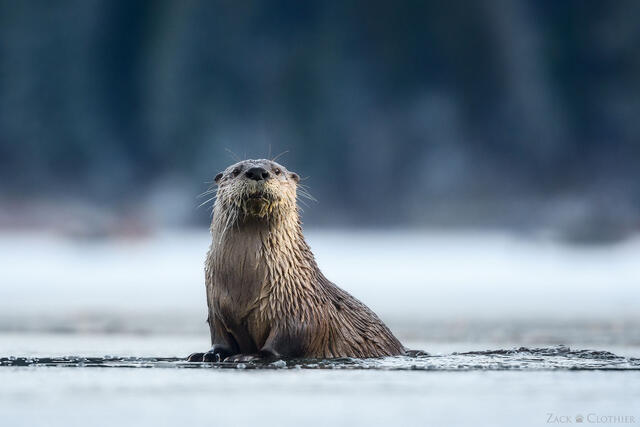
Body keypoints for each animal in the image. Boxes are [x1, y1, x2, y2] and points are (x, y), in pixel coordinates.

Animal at [187, 159, 405, 362]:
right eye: (235, 171)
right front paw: (207, 354)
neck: (245, 285)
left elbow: (284, 342)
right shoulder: (217, 310)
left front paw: (250, 356)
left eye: (276, 170)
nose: (257, 171)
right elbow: (220, 340)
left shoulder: (300, 312)